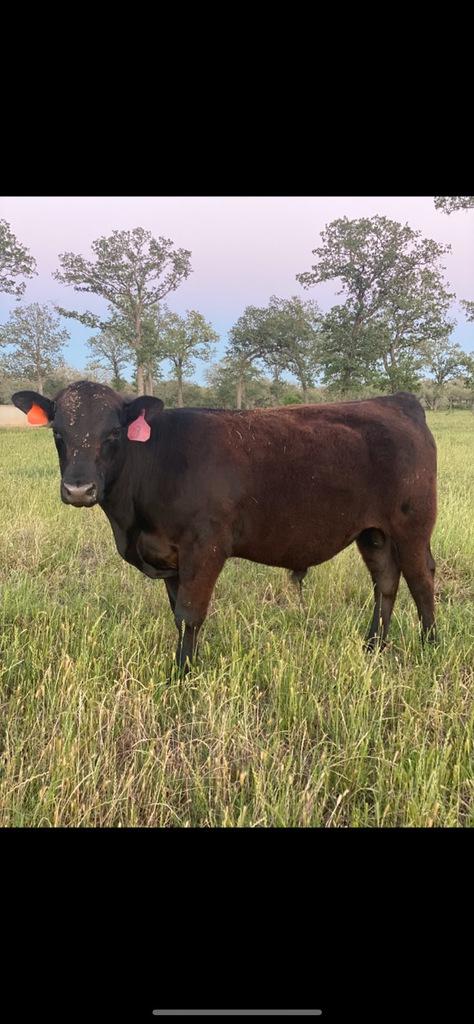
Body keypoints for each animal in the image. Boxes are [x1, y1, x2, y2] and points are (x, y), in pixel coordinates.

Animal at [12, 382, 438, 671]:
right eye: (58, 433)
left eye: (113, 433)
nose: (78, 489)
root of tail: (394, 401)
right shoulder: (171, 556)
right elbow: (178, 612)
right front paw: (188, 663)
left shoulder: (205, 547)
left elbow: (190, 613)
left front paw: (181, 674)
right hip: (374, 533)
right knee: (385, 581)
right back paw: (373, 646)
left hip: (413, 525)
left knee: (421, 580)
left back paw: (429, 645)